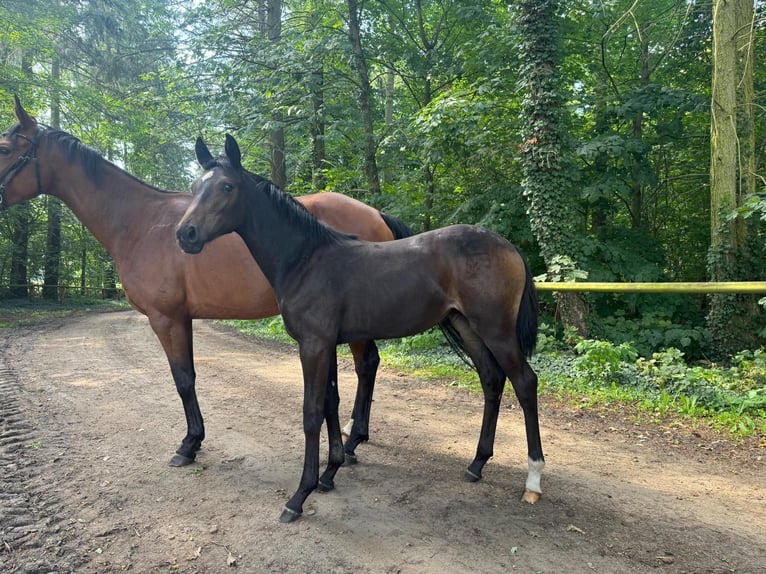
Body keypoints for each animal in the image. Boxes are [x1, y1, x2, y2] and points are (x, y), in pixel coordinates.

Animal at [0, 95, 413, 467]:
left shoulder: (165, 319)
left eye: (5, 148)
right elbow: (190, 377)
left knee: (366, 363)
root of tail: (375, 213)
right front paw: (194, 440)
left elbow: (183, 379)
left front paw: (189, 445)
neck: (139, 222)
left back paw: (354, 440)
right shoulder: (182, 318)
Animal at [176, 134, 545, 523]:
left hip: (497, 330)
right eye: (195, 186)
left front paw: (299, 496)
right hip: (468, 326)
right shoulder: (326, 344)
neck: (306, 260)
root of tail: (509, 246)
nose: (185, 234)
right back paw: (476, 464)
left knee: (525, 382)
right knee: (491, 379)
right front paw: (330, 472)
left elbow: (311, 413)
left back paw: (533, 481)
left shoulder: (314, 345)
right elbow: (330, 404)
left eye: (226, 186)